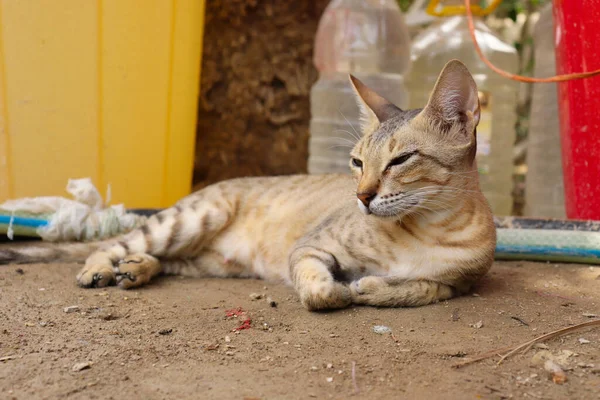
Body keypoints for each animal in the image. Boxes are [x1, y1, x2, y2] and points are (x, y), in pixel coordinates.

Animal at [0, 59, 494, 310]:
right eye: (357, 163)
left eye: (400, 159)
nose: (362, 196)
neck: (430, 229)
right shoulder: (309, 247)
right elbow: (317, 286)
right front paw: (335, 290)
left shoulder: (458, 284)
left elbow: (417, 288)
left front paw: (371, 287)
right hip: (190, 219)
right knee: (113, 244)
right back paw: (105, 267)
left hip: (210, 261)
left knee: (165, 260)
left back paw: (136, 269)